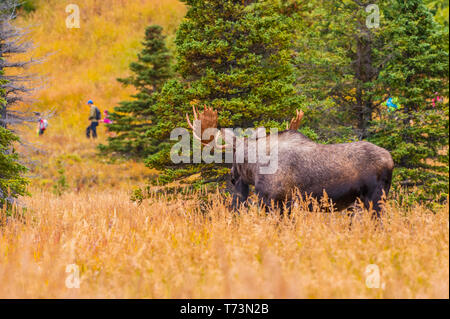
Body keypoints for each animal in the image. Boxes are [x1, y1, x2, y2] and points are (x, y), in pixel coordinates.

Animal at [186, 106, 394, 219]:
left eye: (234, 157)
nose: (231, 176)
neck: (256, 168)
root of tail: (391, 160)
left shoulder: (276, 200)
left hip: (375, 199)